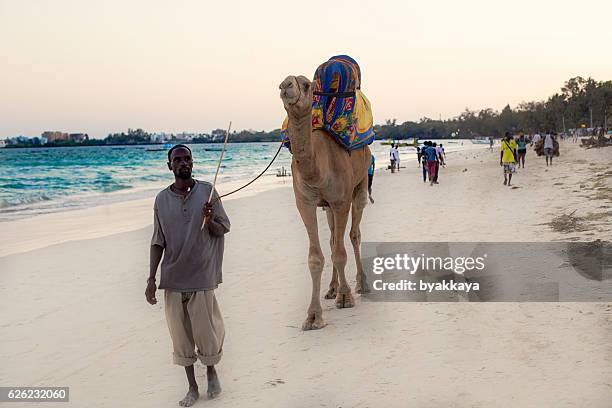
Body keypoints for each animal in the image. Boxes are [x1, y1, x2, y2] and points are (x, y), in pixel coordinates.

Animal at [280, 74, 370, 328]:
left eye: (305, 84)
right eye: (284, 82)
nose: (285, 85)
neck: (317, 170)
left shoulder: (341, 201)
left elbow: (340, 252)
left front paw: (346, 297)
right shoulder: (305, 202)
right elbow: (316, 257)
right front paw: (313, 316)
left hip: (360, 186)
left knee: (354, 234)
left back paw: (361, 284)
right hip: (327, 208)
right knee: (332, 238)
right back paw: (331, 289)